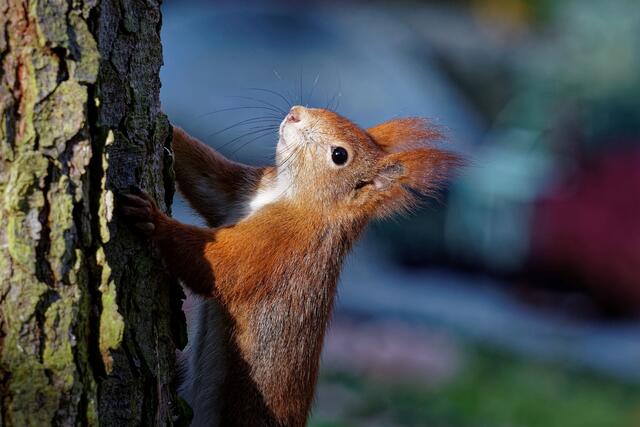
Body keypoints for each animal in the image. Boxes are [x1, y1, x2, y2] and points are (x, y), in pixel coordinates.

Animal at [120, 105, 461, 426]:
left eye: (339, 155)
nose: (295, 113)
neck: (292, 197)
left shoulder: (276, 247)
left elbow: (217, 268)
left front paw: (153, 219)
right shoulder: (242, 191)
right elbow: (207, 179)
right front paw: (168, 125)